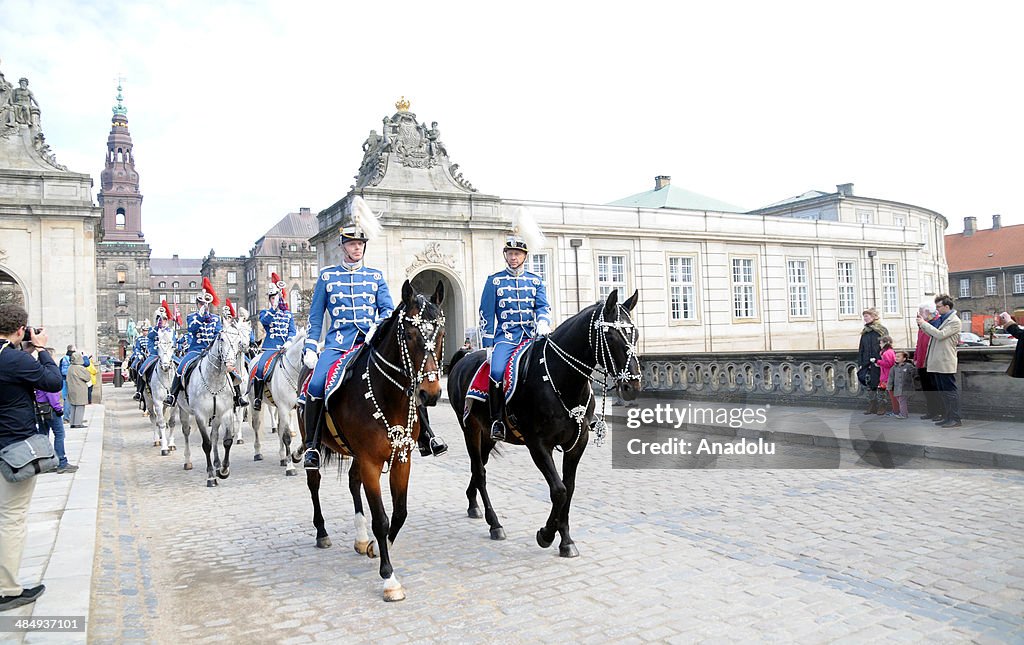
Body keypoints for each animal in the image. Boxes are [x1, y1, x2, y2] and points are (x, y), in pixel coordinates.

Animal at [143, 327, 179, 460]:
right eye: (157, 346)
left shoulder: (174, 403)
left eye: (173, 346)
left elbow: (171, 422)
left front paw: (171, 444)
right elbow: (162, 423)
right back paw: (157, 439)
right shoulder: (157, 402)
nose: (165, 366)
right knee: (154, 418)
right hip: (149, 400)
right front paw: (164, 448)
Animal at [174, 331, 243, 487]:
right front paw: (211, 477)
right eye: (221, 339)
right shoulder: (200, 416)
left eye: (239, 341)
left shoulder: (226, 413)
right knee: (186, 432)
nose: (230, 365)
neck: (215, 381)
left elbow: (227, 441)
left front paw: (223, 470)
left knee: (215, 435)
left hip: (216, 417)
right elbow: (206, 444)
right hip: (183, 411)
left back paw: (217, 464)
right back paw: (188, 461)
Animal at [248, 327, 307, 475]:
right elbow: (286, 437)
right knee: (256, 426)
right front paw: (291, 467)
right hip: (255, 404)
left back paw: (282, 458)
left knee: (280, 428)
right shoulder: (284, 408)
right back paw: (257, 453)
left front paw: (294, 456)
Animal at [292, 280, 444, 606]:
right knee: (314, 484)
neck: (388, 396)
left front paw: (376, 545)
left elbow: (399, 512)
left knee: (352, 482)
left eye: (439, 334)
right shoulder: (372, 462)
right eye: (409, 335)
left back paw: (361, 538)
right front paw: (389, 578)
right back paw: (322, 532)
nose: (430, 393)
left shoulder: (401, 458)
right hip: (320, 447)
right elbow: (382, 518)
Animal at [448, 288, 638, 556]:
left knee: (479, 466)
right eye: (610, 336)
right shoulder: (537, 445)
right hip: (470, 429)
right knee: (480, 471)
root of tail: (463, 359)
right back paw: (494, 523)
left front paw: (565, 539)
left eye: (635, 334)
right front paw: (547, 534)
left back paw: (472, 502)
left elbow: (569, 489)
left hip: (487, 433)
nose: (633, 384)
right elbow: (559, 490)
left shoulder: (577, 443)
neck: (560, 380)